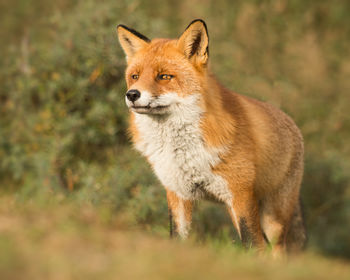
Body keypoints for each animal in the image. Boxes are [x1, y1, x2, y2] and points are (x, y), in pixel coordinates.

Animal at [116, 18, 304, 255]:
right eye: (135, 76)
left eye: (164, 76)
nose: (132, 94)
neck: (184, 151)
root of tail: (291, 122)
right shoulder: (178, 193)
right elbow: (178, 240)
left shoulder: (240, 193)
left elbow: (253, 245)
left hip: (273, 220)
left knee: (276, 250)